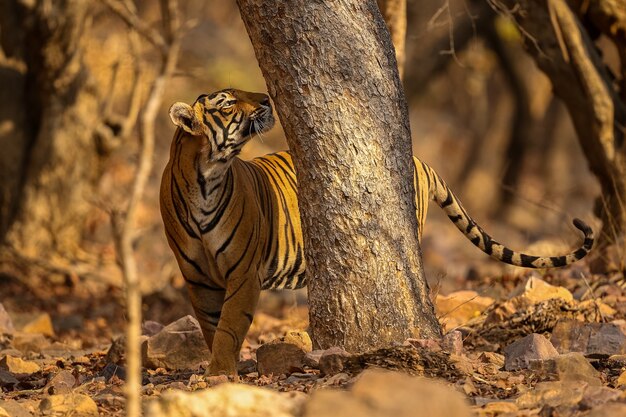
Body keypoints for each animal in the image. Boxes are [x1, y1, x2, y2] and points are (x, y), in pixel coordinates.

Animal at [158, 87, 592, 374]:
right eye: (228, 102)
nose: (266, 98)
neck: (206, 178)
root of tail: (419, 159)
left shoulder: (244, 273)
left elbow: (230, 326)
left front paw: (220, 372)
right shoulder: (197, 276)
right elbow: (212, 325)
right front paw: (218, 369)